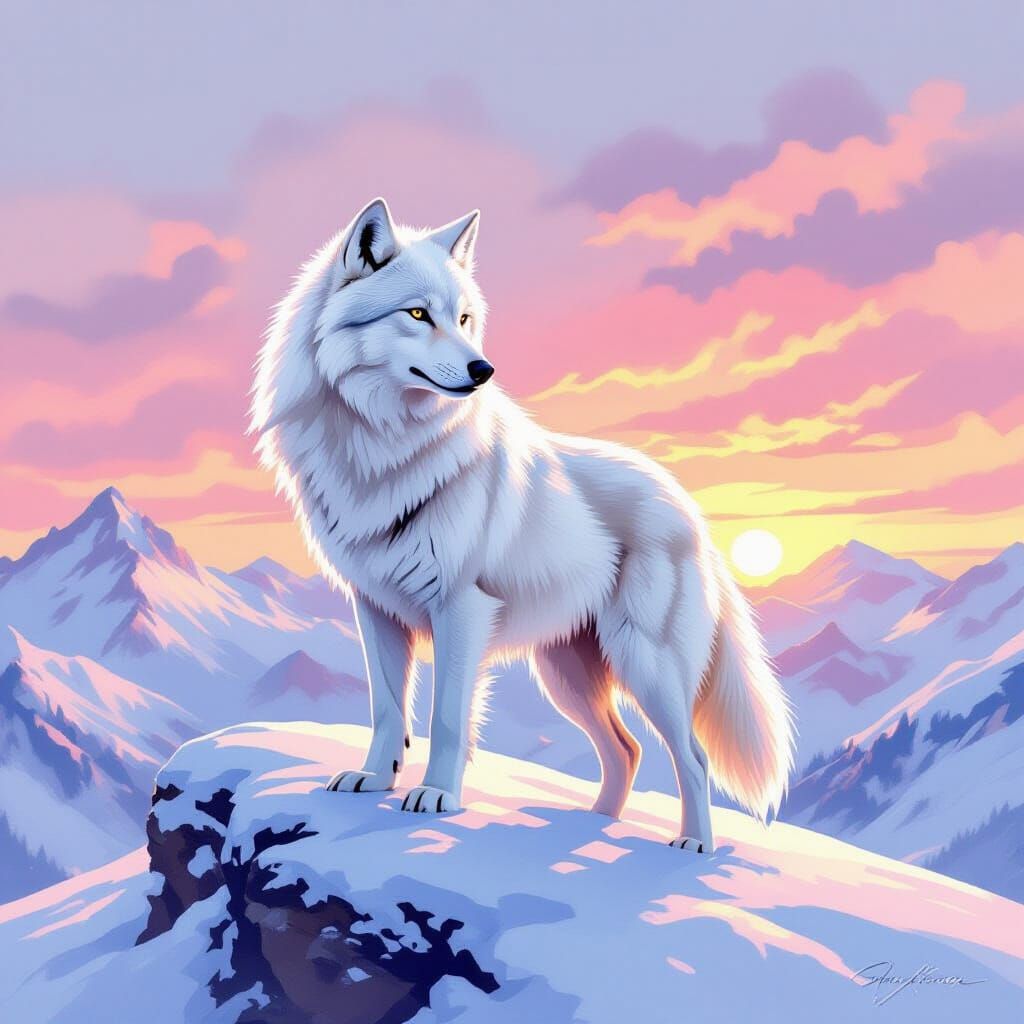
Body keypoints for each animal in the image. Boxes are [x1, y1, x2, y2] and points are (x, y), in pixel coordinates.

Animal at [250, 198, 794, 852]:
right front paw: (374, 780)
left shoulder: (460, 609)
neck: (381, 447)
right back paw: (591, 827)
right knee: (626, 750)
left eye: (463, 319)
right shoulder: (374, 607)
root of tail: (691, 509)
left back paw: (693, 845)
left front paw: (435, 797)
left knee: (691, 755)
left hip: (646, 664)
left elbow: (447, 718)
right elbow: (386, 709)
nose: (483, 368)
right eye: (417, 314)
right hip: (566, 676)